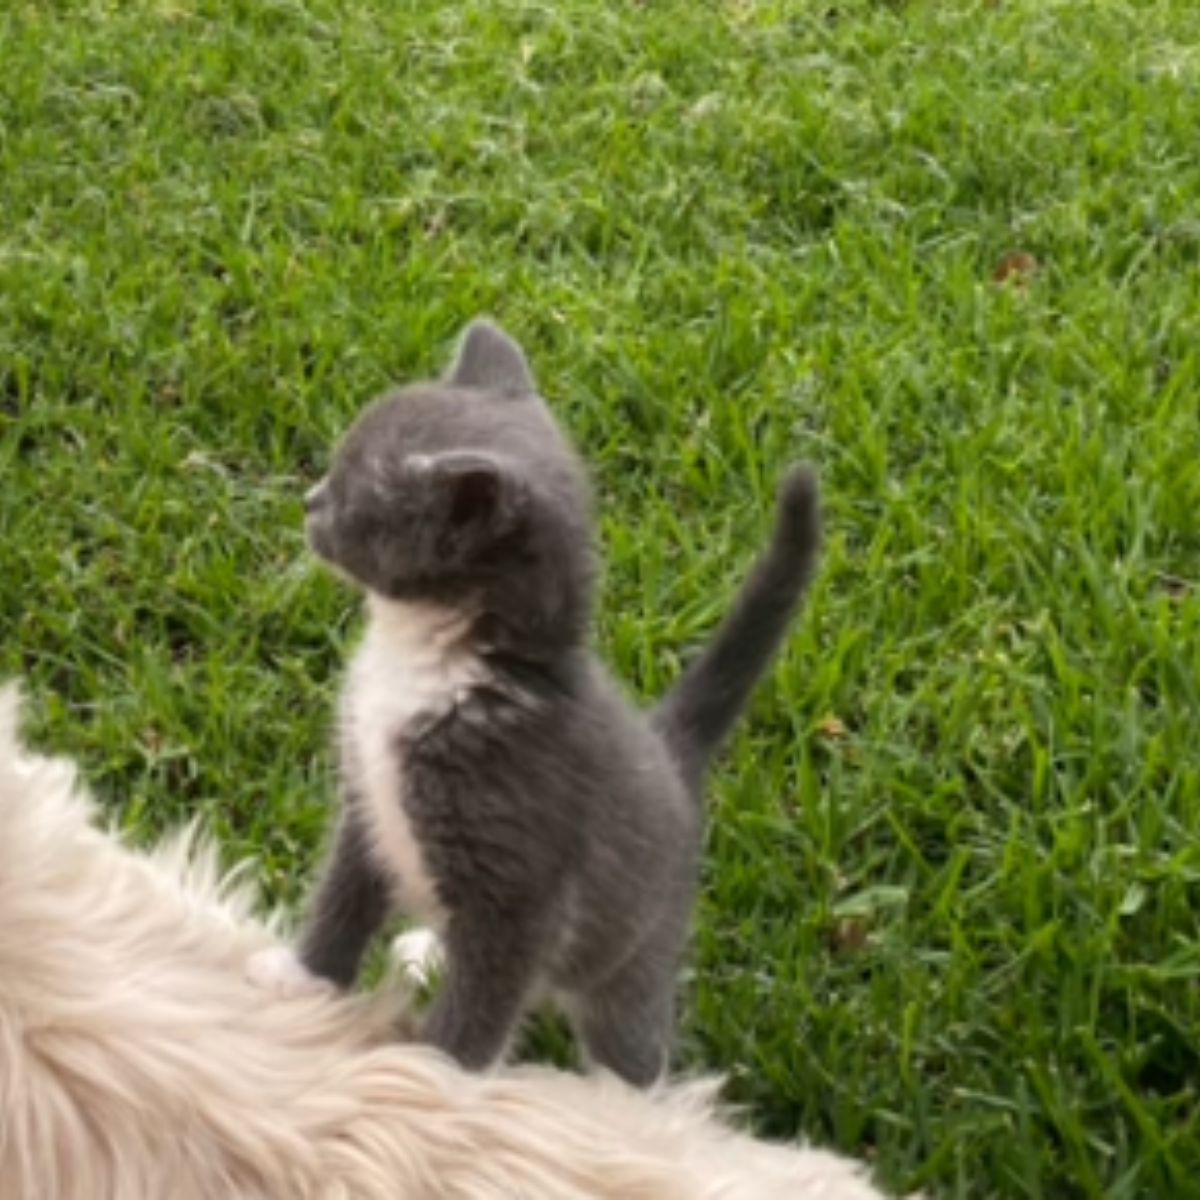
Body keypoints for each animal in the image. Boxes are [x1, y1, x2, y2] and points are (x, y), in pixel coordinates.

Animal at [282, 321, 825, 1089]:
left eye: (352, 493)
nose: (309, 499)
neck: (428, 661)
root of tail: (670, 751)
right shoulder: (369, 795)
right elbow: (343, 894)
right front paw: (298, 986)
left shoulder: (521, 885)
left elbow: (483, 1003)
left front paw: (435, 1081)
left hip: (636, 948)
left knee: (631, 1041)